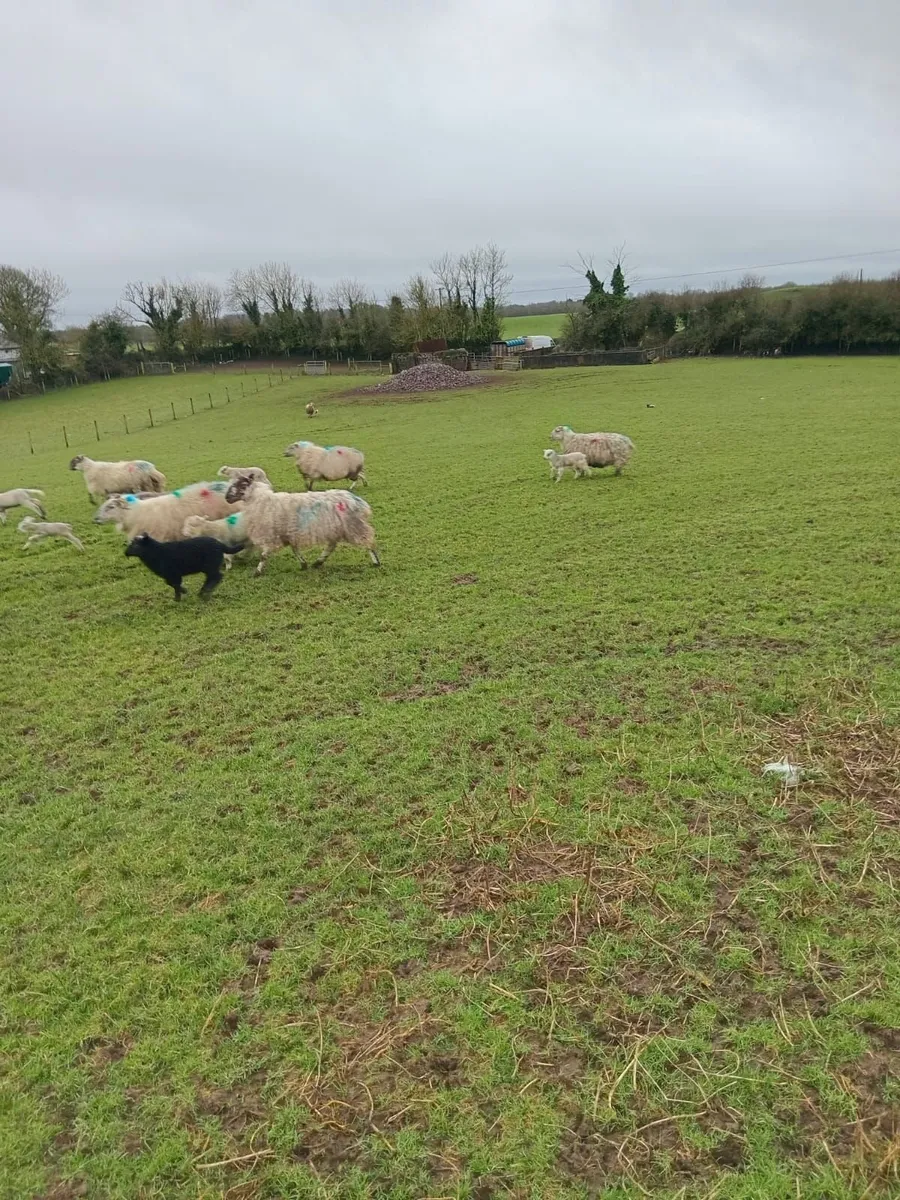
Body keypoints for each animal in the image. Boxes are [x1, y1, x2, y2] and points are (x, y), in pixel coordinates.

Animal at [224, 475, 380, 575]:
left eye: (242, 485)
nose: (227, 498)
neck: (262, 501)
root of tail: (357, 500)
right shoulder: (288, 533)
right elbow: (295, 549)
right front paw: (303, 564)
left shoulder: (273, 535)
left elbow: (264, 555)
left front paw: (257, 571)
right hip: (336, 528)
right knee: (331, 545)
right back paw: (318, 562)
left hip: (353, 526)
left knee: (368, 542)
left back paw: (376, 562)